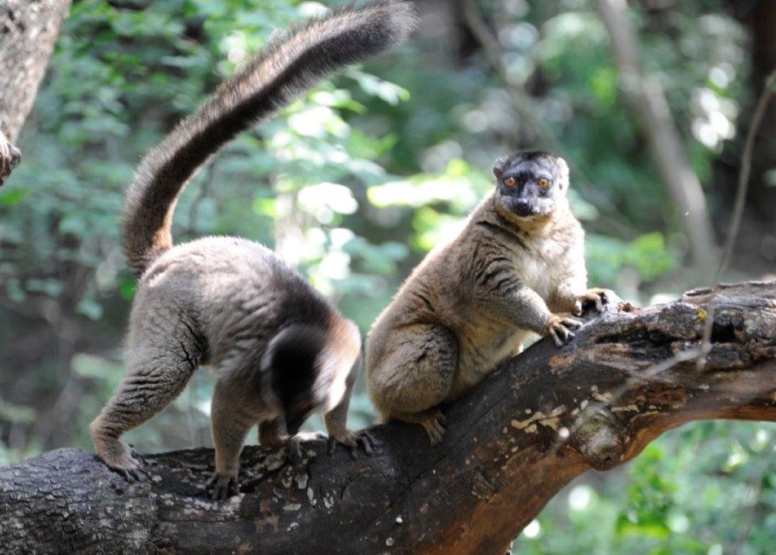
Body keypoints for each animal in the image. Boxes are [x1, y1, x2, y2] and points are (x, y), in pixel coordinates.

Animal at [90, 0, 417, 500]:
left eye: (306, 402)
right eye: (284, 397)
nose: (287, 423)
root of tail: (171, 256)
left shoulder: (350, 352)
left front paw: (336, 431)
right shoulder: (246, 381)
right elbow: (225, 408)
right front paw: (229, 466)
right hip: (163, 307)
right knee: (167, 368)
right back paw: (107, 437)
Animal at [366, 151, 617, 443]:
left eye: (543, 183)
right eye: (510, 181)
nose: (523, 202)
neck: (538, 232)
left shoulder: (568, 239)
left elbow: (558, 292)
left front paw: (584, 296)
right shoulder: (483, 244)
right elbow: (495, 290)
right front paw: (550, 322)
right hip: (387, 379)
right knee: (437, 340)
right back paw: (415, 414)